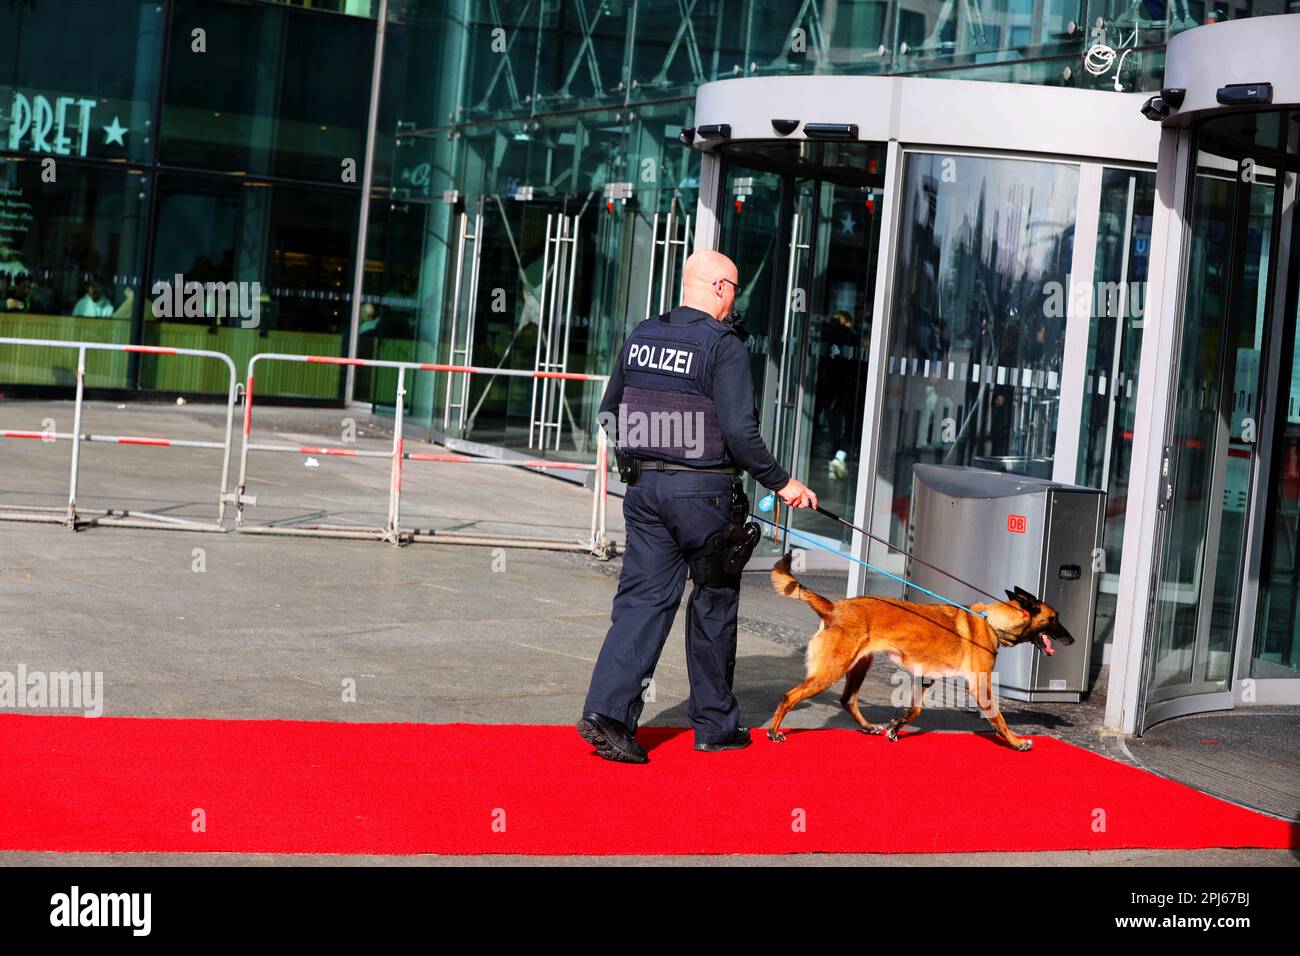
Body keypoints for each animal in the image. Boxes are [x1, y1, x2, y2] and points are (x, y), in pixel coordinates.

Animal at [759, 556, 1076, 749]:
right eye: (1055, 618)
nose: (1072, 639)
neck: (992, 621)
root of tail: (833, 606)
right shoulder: (980, 685)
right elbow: (998, 718)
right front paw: (1016, 742)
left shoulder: (925, 678)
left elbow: (915, 710)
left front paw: (895, 727)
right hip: (831, 670)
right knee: (789, 696)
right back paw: (774, 732)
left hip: (859, 665)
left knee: (848, 699)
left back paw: (868, 726)